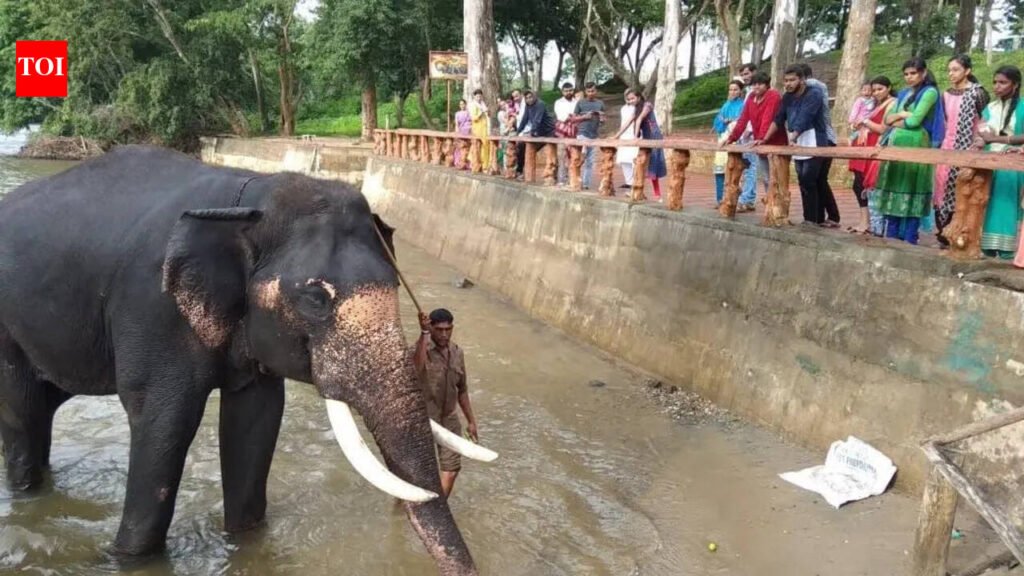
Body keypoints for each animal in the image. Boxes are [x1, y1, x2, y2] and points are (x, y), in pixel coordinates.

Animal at [0, 145, 493, 576]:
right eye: (316, 299)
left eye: (394, 286)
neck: (247, 200)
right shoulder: (152, 308)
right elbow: (165, 420)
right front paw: (128, 559)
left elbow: (256, 418)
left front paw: (246, 539)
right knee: (23, 409)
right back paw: (26, 491)